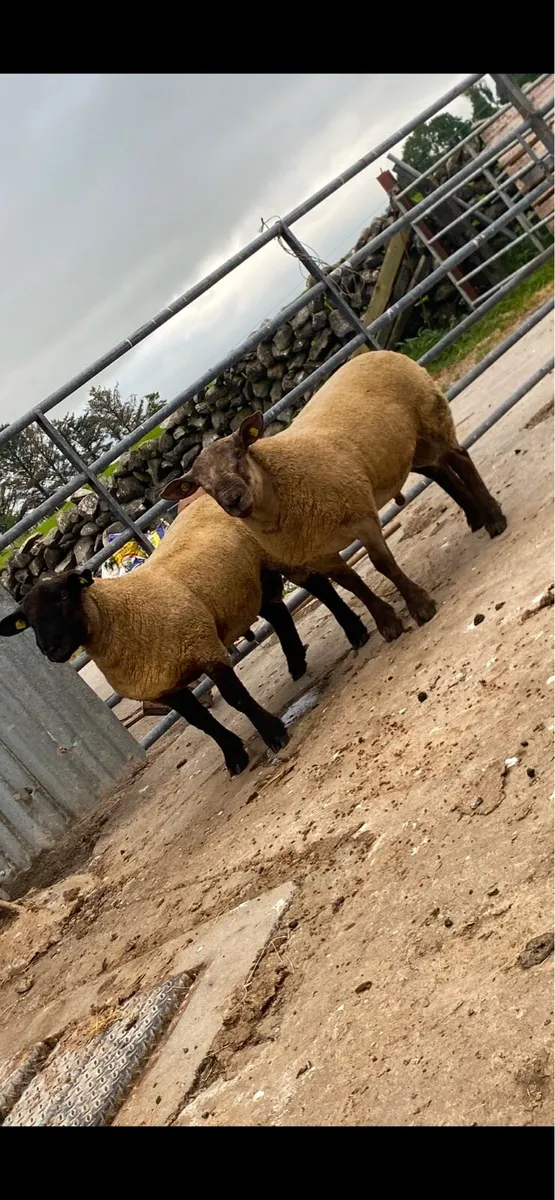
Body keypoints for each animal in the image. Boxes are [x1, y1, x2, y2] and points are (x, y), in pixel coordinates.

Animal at [0, 492, 386, 776]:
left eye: (64, 596)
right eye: (28, 620)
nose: (50, 648)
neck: (121, 614)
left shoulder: (203, 648)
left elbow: (237, 700)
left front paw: (274, 734)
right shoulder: (164, 686)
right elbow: (202, 723)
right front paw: (235, 757)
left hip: (274, 557)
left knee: (319, 585)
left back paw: (355, 633)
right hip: (244, 583)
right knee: (278, 611)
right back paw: (296, 663)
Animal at [162, 350, 507, 627]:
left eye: (238, 454)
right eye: (202, 486)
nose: (233, 499)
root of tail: (374, 352)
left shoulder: (361, 516)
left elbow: (383, 565)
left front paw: (420, 606)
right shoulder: (315, 554)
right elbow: (352, 583)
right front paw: (386, 623)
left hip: (431, 418)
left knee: (460, 459)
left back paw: (494, 519)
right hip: (404, 448)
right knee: (439, 471)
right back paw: (475, 517)